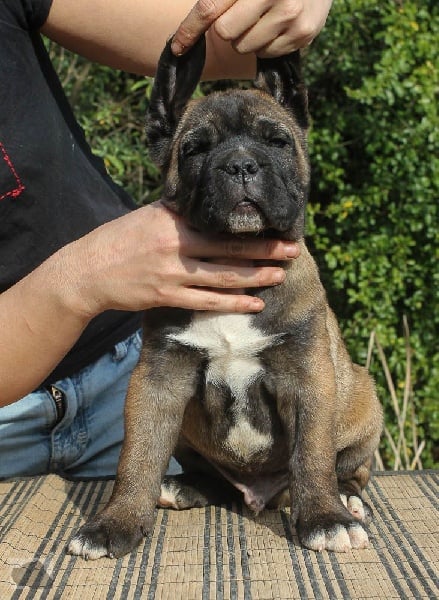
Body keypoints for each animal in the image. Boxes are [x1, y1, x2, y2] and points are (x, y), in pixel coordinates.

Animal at [68, 35, 382, 560]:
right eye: (195, 149)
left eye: (277, 142)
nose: (240, 164)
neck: (236, 262)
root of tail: (262, 496)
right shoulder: (157, 381)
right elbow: (136, 456)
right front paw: (115, 522)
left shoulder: (309, 378)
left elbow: (313, 452)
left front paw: (323, 519)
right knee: (206, 474)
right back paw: (182, 486)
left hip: (362, 397)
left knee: (347, 467)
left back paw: (346, 499)